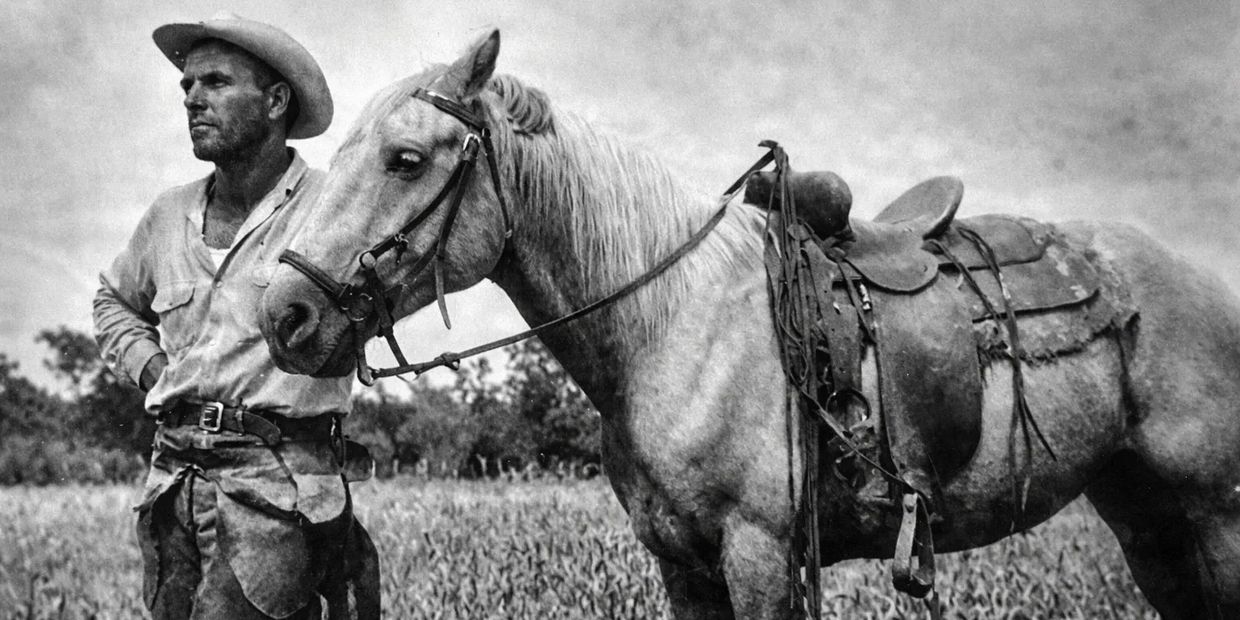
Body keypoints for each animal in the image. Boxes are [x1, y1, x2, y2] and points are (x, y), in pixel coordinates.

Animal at [258, 30, 1240, 619]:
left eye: (405, 158)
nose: (283, 314)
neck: (670, 326)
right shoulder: (684, 567)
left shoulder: (760, 555)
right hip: (1148, 522)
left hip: (1214, 518)